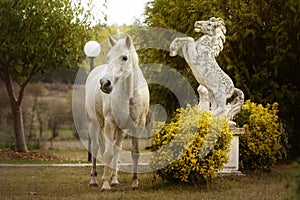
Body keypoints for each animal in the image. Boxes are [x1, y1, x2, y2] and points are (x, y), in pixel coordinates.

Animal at [85, 35, 149, 191]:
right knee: (96, 148)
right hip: (94, 124)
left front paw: (135, 182)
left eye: (124, 57)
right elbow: (107, 154)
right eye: (108, 57)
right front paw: (105, 185)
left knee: (116, 149)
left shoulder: (137, 126)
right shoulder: (109, 124)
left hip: (120, 130)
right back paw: (94, 180)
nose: (104, 83)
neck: (129, 95)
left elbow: (134, 153)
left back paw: (114, 179)